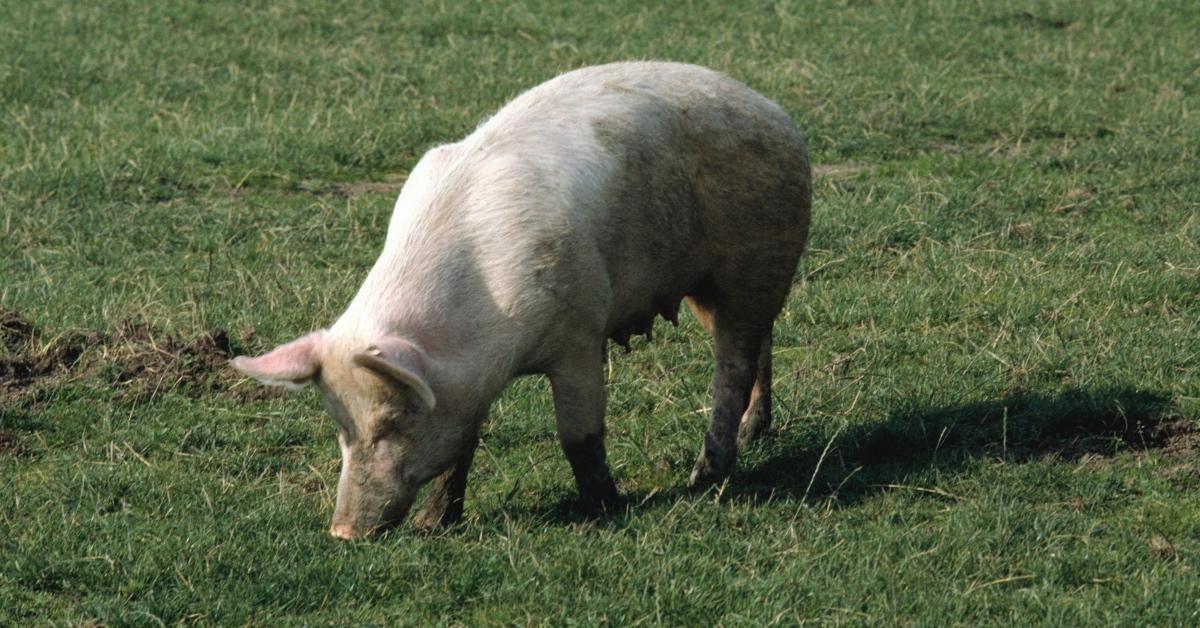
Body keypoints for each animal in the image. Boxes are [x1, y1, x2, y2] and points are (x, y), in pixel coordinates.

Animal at [229, 61, 811, 537]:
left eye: (394, 420)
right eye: (339, 425)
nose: (344, 532)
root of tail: (772, 108)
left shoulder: (580, 332)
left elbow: (579, 434)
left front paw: (606, 511)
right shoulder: (470, 382)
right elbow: (462, 445)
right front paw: (433, 524)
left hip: (757, 257)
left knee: (734, 362)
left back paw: (705, 476)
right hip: (718, 287)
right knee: (761, 342)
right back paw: (754, 436)